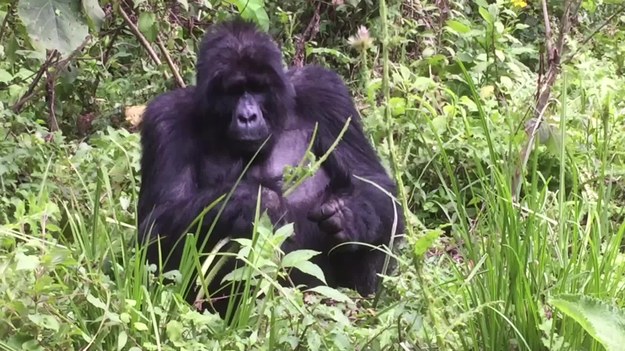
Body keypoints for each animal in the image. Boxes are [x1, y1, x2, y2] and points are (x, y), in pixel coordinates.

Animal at [135, 17, 404, 316]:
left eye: (258, 88)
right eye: (232, 91)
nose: (247, 116)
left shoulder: (326, 92)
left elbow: (373, 181)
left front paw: (348, 215)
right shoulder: (165, 119)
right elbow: (154, 230)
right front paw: (251, 201)